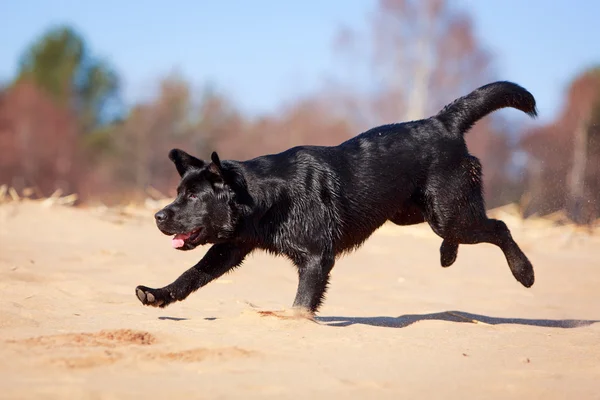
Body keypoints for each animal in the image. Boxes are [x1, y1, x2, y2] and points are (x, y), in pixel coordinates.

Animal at [137, 81, 540, 316]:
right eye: (178, 193)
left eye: (193, 197)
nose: (158, 216)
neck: (265, 197)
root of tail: (442, 121)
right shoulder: (230, 249)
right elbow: (191, 275)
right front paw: (159, 294)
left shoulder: (317, 258)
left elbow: (301, 305)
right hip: (412, 212)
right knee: (468, 230)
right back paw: (448, 254)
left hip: (447, 212)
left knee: (499, 226)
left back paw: (525, 272)